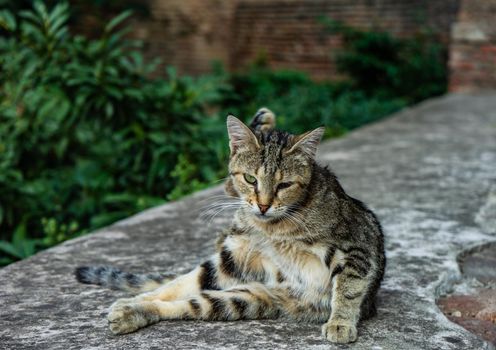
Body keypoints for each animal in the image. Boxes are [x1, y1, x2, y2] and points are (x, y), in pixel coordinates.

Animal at [75, 108, 386, 344]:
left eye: (284, 185)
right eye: (250, 179)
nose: (263, 205)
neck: (273, 228)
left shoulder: (356, 247)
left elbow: (348, 287)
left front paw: (340, 323)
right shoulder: (232, 257)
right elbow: (179, 283)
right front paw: (136, 299)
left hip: (244, 299)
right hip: (238, 293)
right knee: (186, 294)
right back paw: (131, 309)